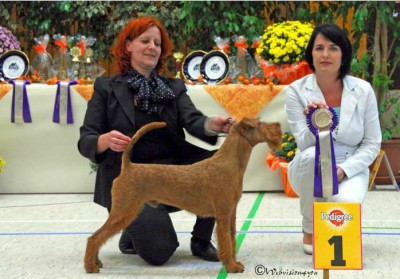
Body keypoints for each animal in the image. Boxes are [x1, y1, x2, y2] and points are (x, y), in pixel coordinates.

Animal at [84, 117, 282, 274]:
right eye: (259, 123)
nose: (278, 125)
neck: (229, 163)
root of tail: (128, 167)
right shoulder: (223, 215)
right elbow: (226, 242)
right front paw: (232, 267)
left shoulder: (231, 213)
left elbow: (232, 240)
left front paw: (234, 263)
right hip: (123, 210)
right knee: (95, 237)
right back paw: (90, 266)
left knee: (99, 236)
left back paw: (97, 262)